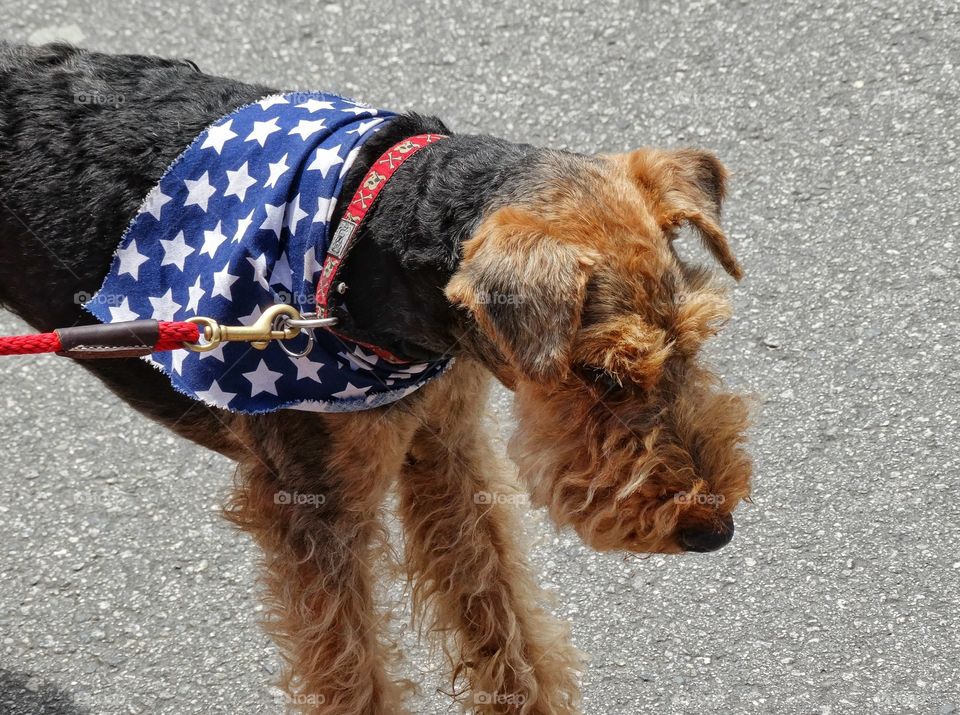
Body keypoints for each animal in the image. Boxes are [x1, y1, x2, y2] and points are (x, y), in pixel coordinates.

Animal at [0, 44, 752, 715]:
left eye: (695, 340)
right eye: (602, 373)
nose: (713, 529)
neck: (362, 238)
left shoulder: (446, 447)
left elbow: (504, 623)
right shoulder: (315, 507)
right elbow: (353, 672)